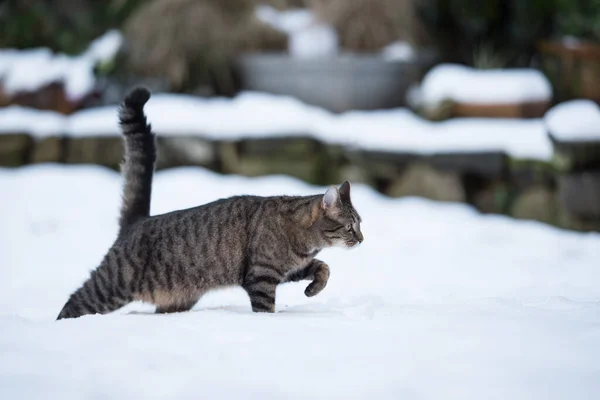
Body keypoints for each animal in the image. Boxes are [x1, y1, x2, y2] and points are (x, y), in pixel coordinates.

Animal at [56, 87, 364, 318]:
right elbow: (266, 308)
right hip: (112, 285)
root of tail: (138, 220)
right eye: (350, 227)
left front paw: (313, 289)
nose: (362, 239)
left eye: (360, 225)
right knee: (73, 302)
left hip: (174, 300)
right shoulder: (260, 276)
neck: (302, 237)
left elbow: (323, 267)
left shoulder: (292, 268)